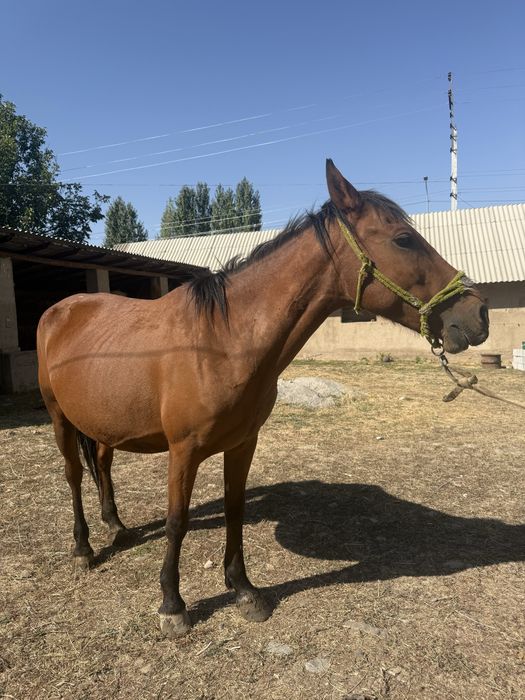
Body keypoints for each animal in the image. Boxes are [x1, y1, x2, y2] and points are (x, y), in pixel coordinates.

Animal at [37, 160, 489, 638]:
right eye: (404, 239)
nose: (478, 313)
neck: (222, 341)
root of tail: (59, 310)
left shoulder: (242, 443)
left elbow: (234, 509)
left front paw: (243, 590)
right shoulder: (183, 451)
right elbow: (177, 522)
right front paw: (172, 605)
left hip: (103, 421)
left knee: (103, 463)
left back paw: (117, 525)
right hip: (60, 418)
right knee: (73, 476)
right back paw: (84, 547)